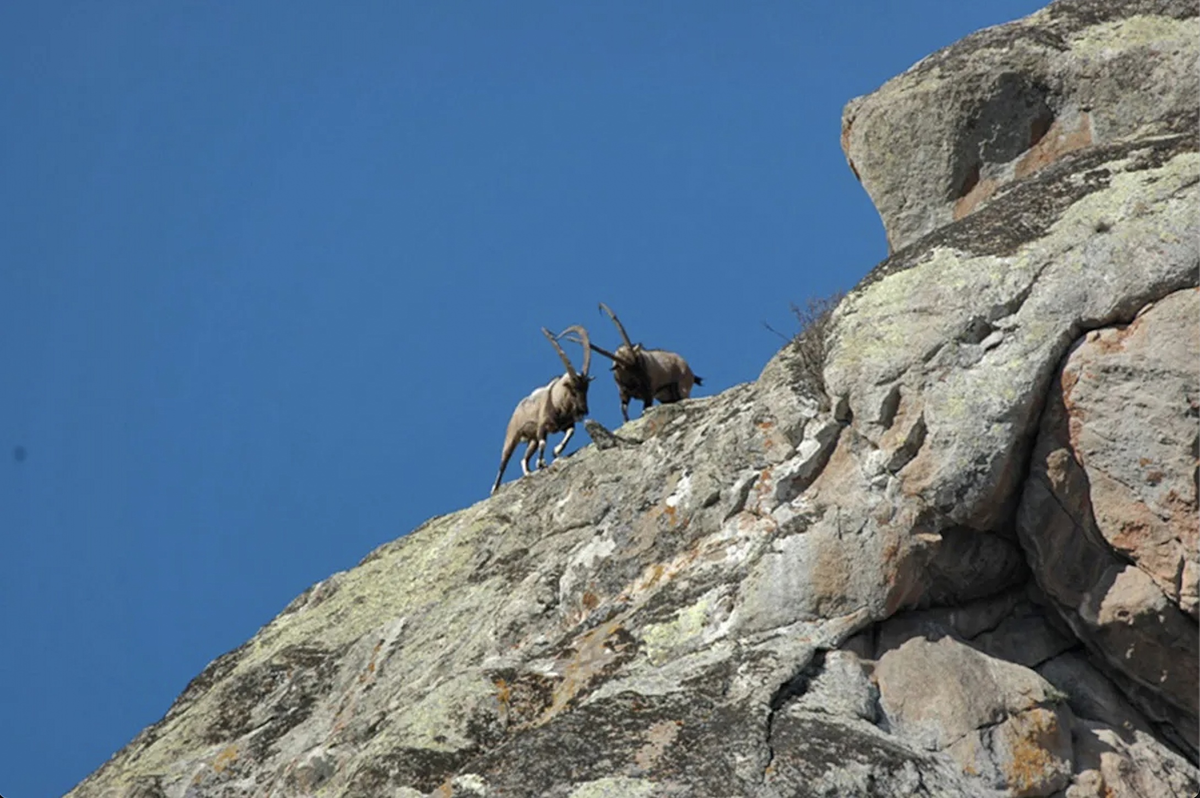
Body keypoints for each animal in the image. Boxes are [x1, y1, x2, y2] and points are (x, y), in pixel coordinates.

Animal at [489, 324, 592, 492]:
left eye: (586, 389)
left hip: (532, 440)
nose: (584, 410)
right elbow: (544, 442)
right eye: (573, 390)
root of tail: (518, 408)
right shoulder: (542, 426)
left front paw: (555, 451)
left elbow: (570, 432)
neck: (557, 401)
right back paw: (495, 488)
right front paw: (541, 463)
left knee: (524, 459)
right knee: (504, 462)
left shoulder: (564, 425)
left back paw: (528, 473)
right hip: (512, 436)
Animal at [571, 302, 700, 420]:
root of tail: (690, 371)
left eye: (638, 361)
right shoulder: (624, 394)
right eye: (627, 368)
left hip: (682, 388)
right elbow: (623, 410)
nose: (645, 381)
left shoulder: (648, 395)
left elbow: (644, 409)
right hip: (666, 396)